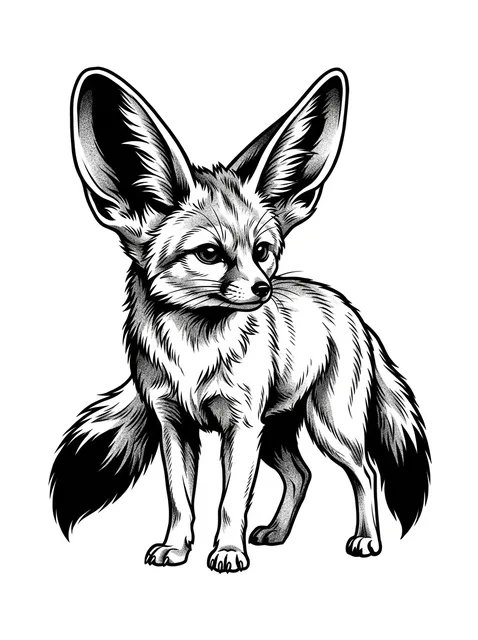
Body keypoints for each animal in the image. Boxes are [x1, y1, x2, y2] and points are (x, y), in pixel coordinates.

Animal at [50, 67, 430, 573]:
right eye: (210, 253)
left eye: (262, 251)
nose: (263, 289)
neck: (193, 352)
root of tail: (350, 310)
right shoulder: (175, 424)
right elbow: (179, 499)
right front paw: (176, 547)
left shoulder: (241, 425)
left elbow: (230, 500)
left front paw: (228, 551)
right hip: (278, 434)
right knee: (302, 474)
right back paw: (277, 533)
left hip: (329, 427)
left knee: (364, 472)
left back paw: (366, 539)